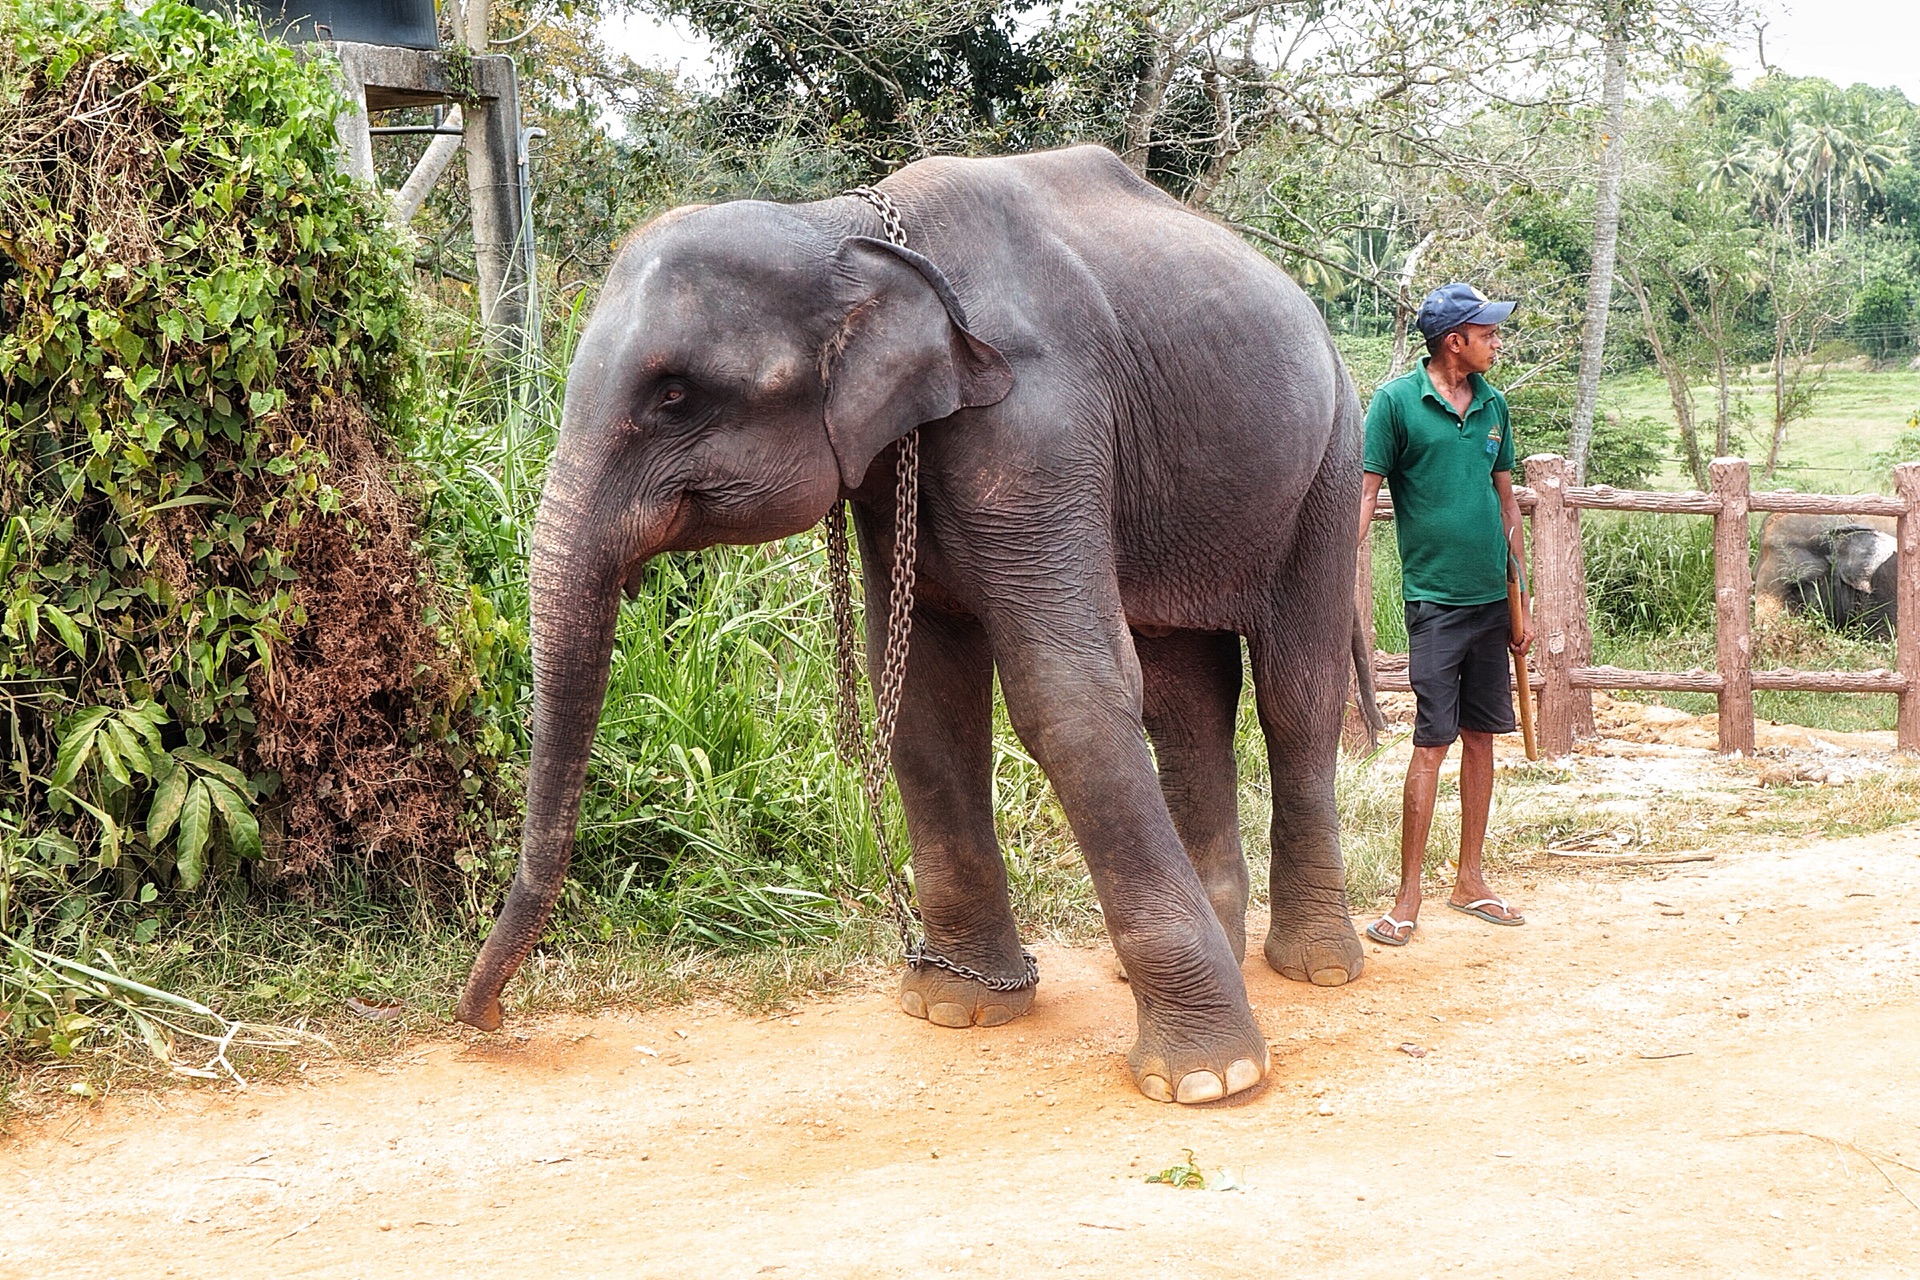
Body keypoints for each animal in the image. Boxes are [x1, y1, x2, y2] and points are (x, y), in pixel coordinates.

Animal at [456, 144, 1374, 1105]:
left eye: (675, 395)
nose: (489, 1021)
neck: (848, 224)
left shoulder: (1037, 423)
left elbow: (1068, 693)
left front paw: (1210, 1079)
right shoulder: (895, 466)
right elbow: (923, 694)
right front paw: (956, 1006)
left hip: (1333, 463)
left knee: (1295, 692)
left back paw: (1318, 967)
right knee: (1184, 697)